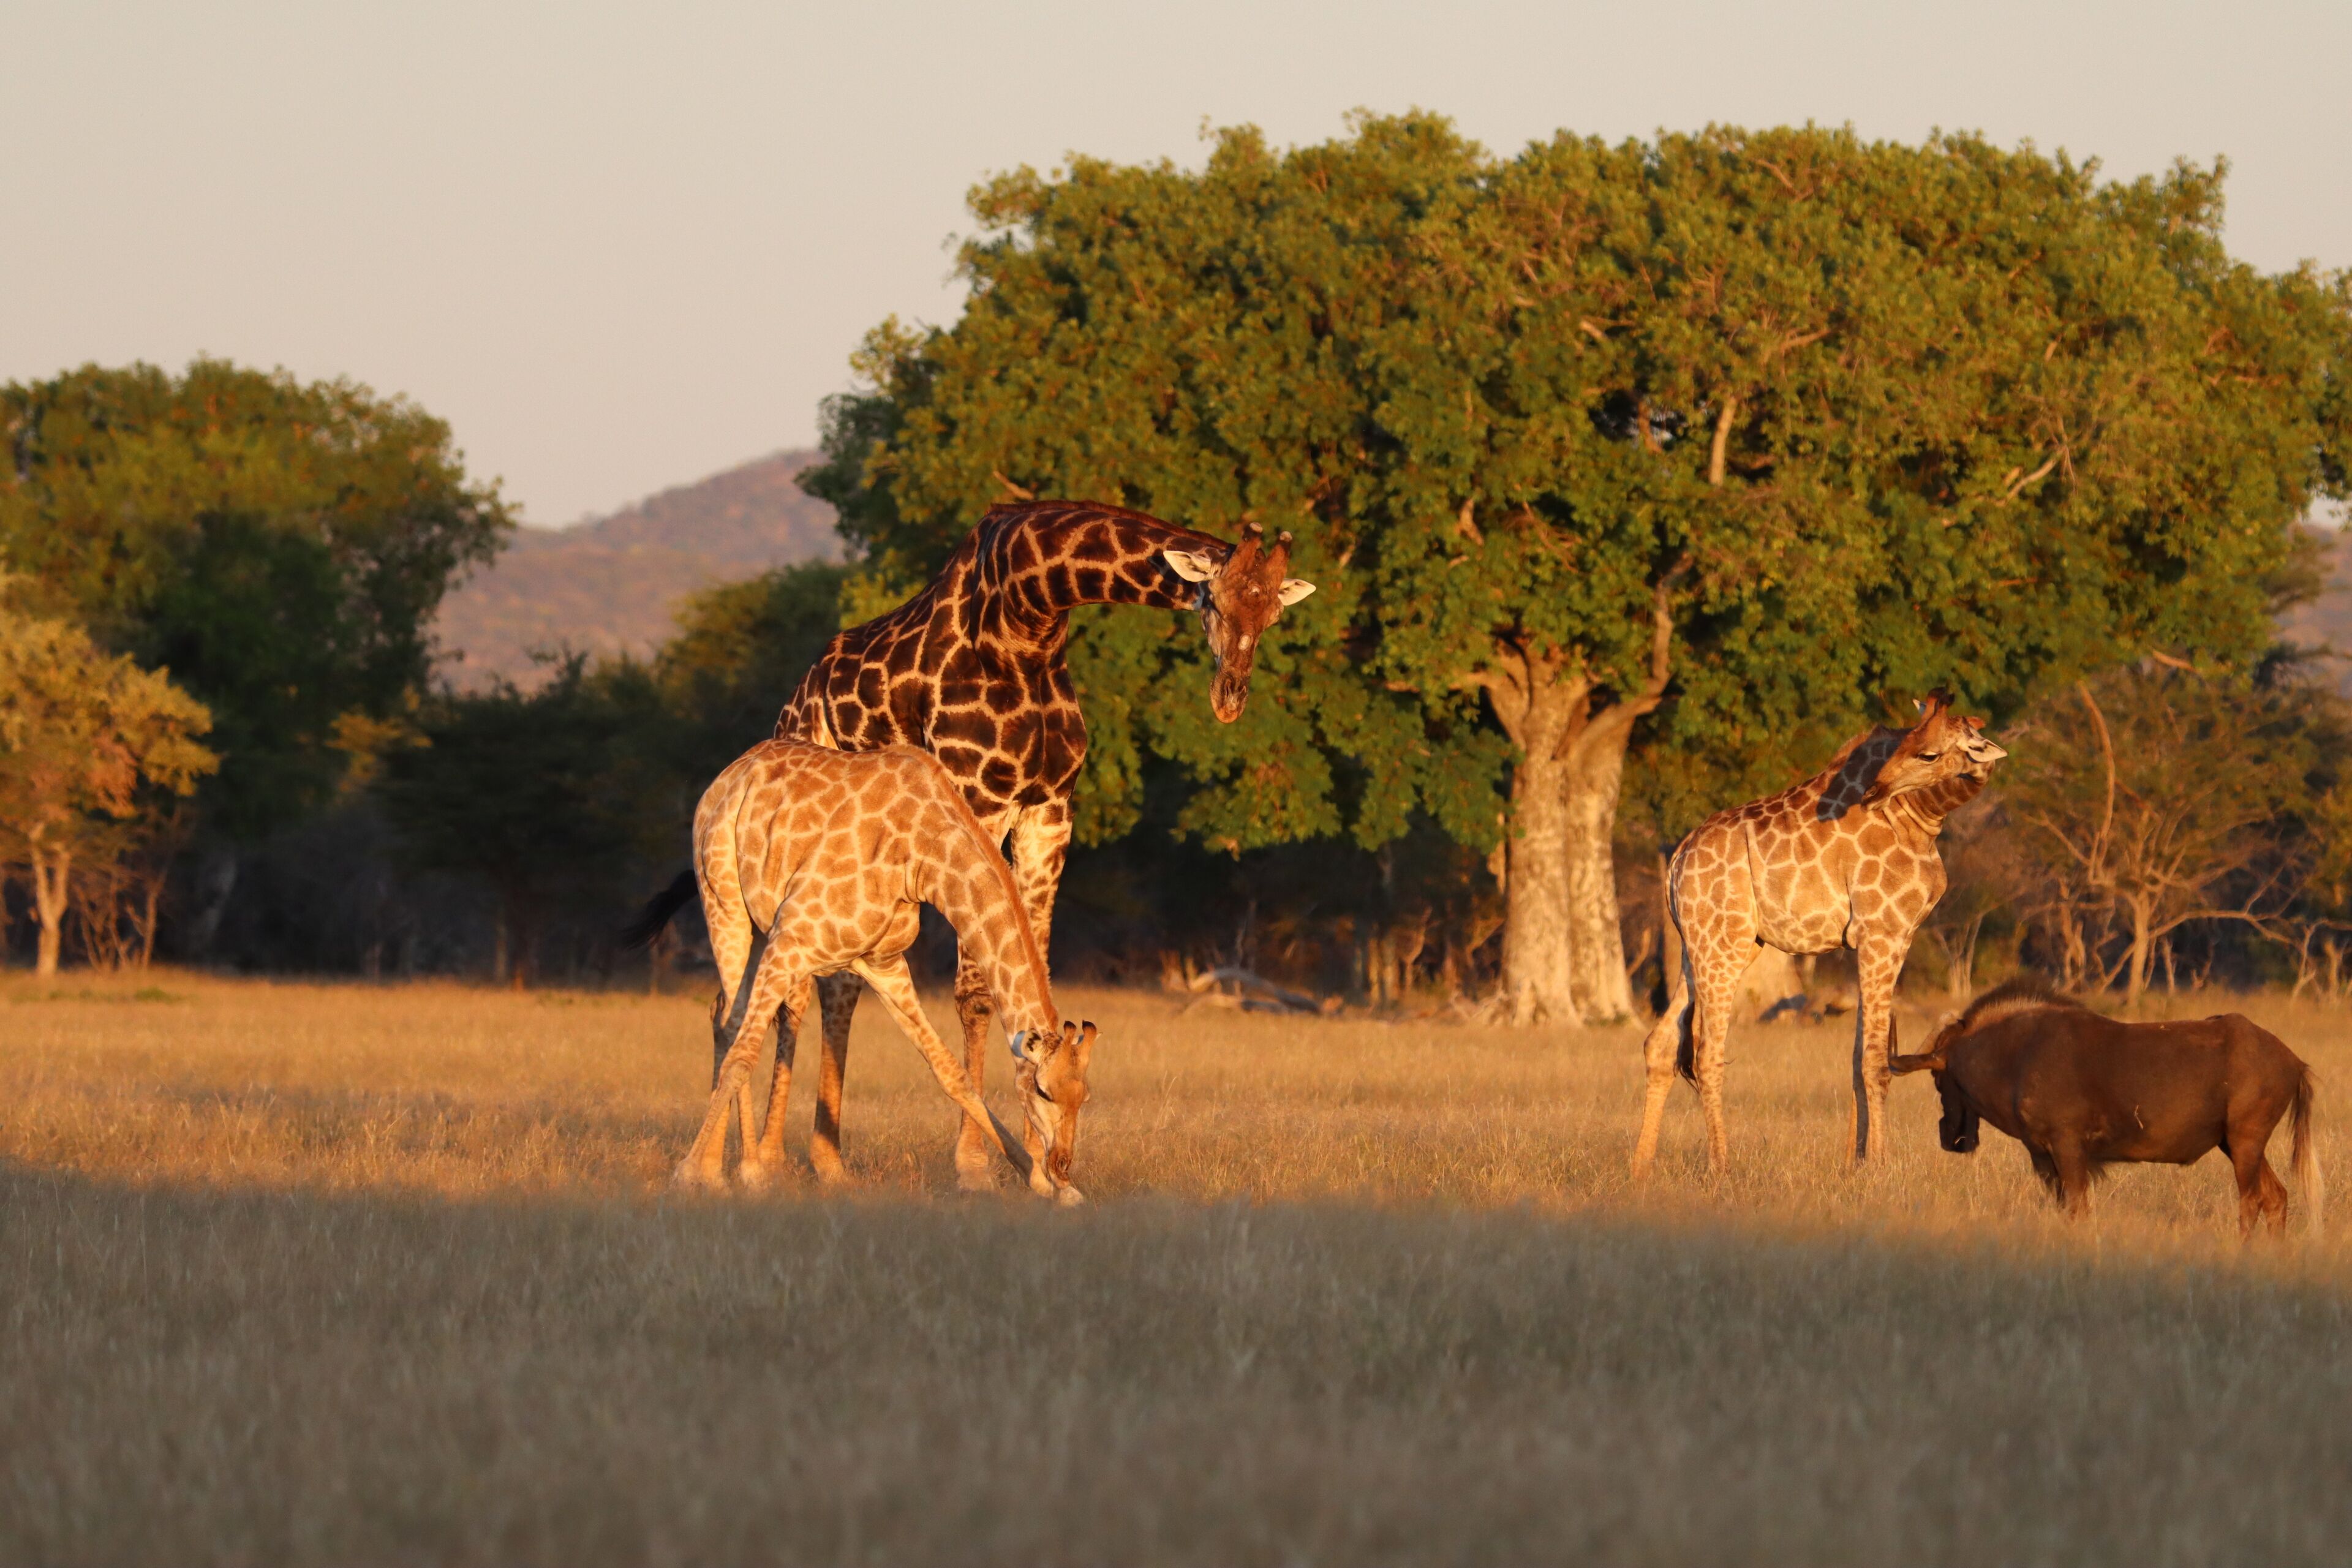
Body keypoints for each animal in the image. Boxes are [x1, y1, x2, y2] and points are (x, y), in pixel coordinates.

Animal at [671, 739, 1096, 1203]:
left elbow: (950, 1072)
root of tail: (728, 776)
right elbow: (743, 1056)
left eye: (1085, 1098)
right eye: (1042, 1090)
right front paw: (688, 1174)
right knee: (733, 1026)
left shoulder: (884, 964)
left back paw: (727, 1170)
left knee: (723, 1013)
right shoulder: (792, 940)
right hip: (725, 903)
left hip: (759, 923)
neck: (924, 858)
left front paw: (1044, 1184)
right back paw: (730, 1171)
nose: (1062, 1165)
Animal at [776, 498, 1312, 1187]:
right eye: (1212, 602)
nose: (1229, 700)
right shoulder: (980, 799)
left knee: (838, 980)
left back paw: (828, 1160)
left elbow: (1035, 966)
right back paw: (765, 1158)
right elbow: (975, 990)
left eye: (1272, 614)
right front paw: (974, 1163)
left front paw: (1034, 1160)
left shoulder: (1051, 810)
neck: (1029, 618)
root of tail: (796, 700)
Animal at [1629, 693, 2008, 1177]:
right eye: (1909, 744)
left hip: (1699, 947)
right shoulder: (1884, 931)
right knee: (1706, 1052)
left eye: (1928, 753)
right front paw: (1880, 1164)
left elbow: (1857, 1057)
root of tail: (1677, 860)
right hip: (1725, 945)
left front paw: (1856, 1162)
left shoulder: (1876, 938)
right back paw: (1722, 1167)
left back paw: (1641, 1167)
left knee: (1660, 1043)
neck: (1923, 816)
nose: (1873, 792)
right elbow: (1876, 1061)